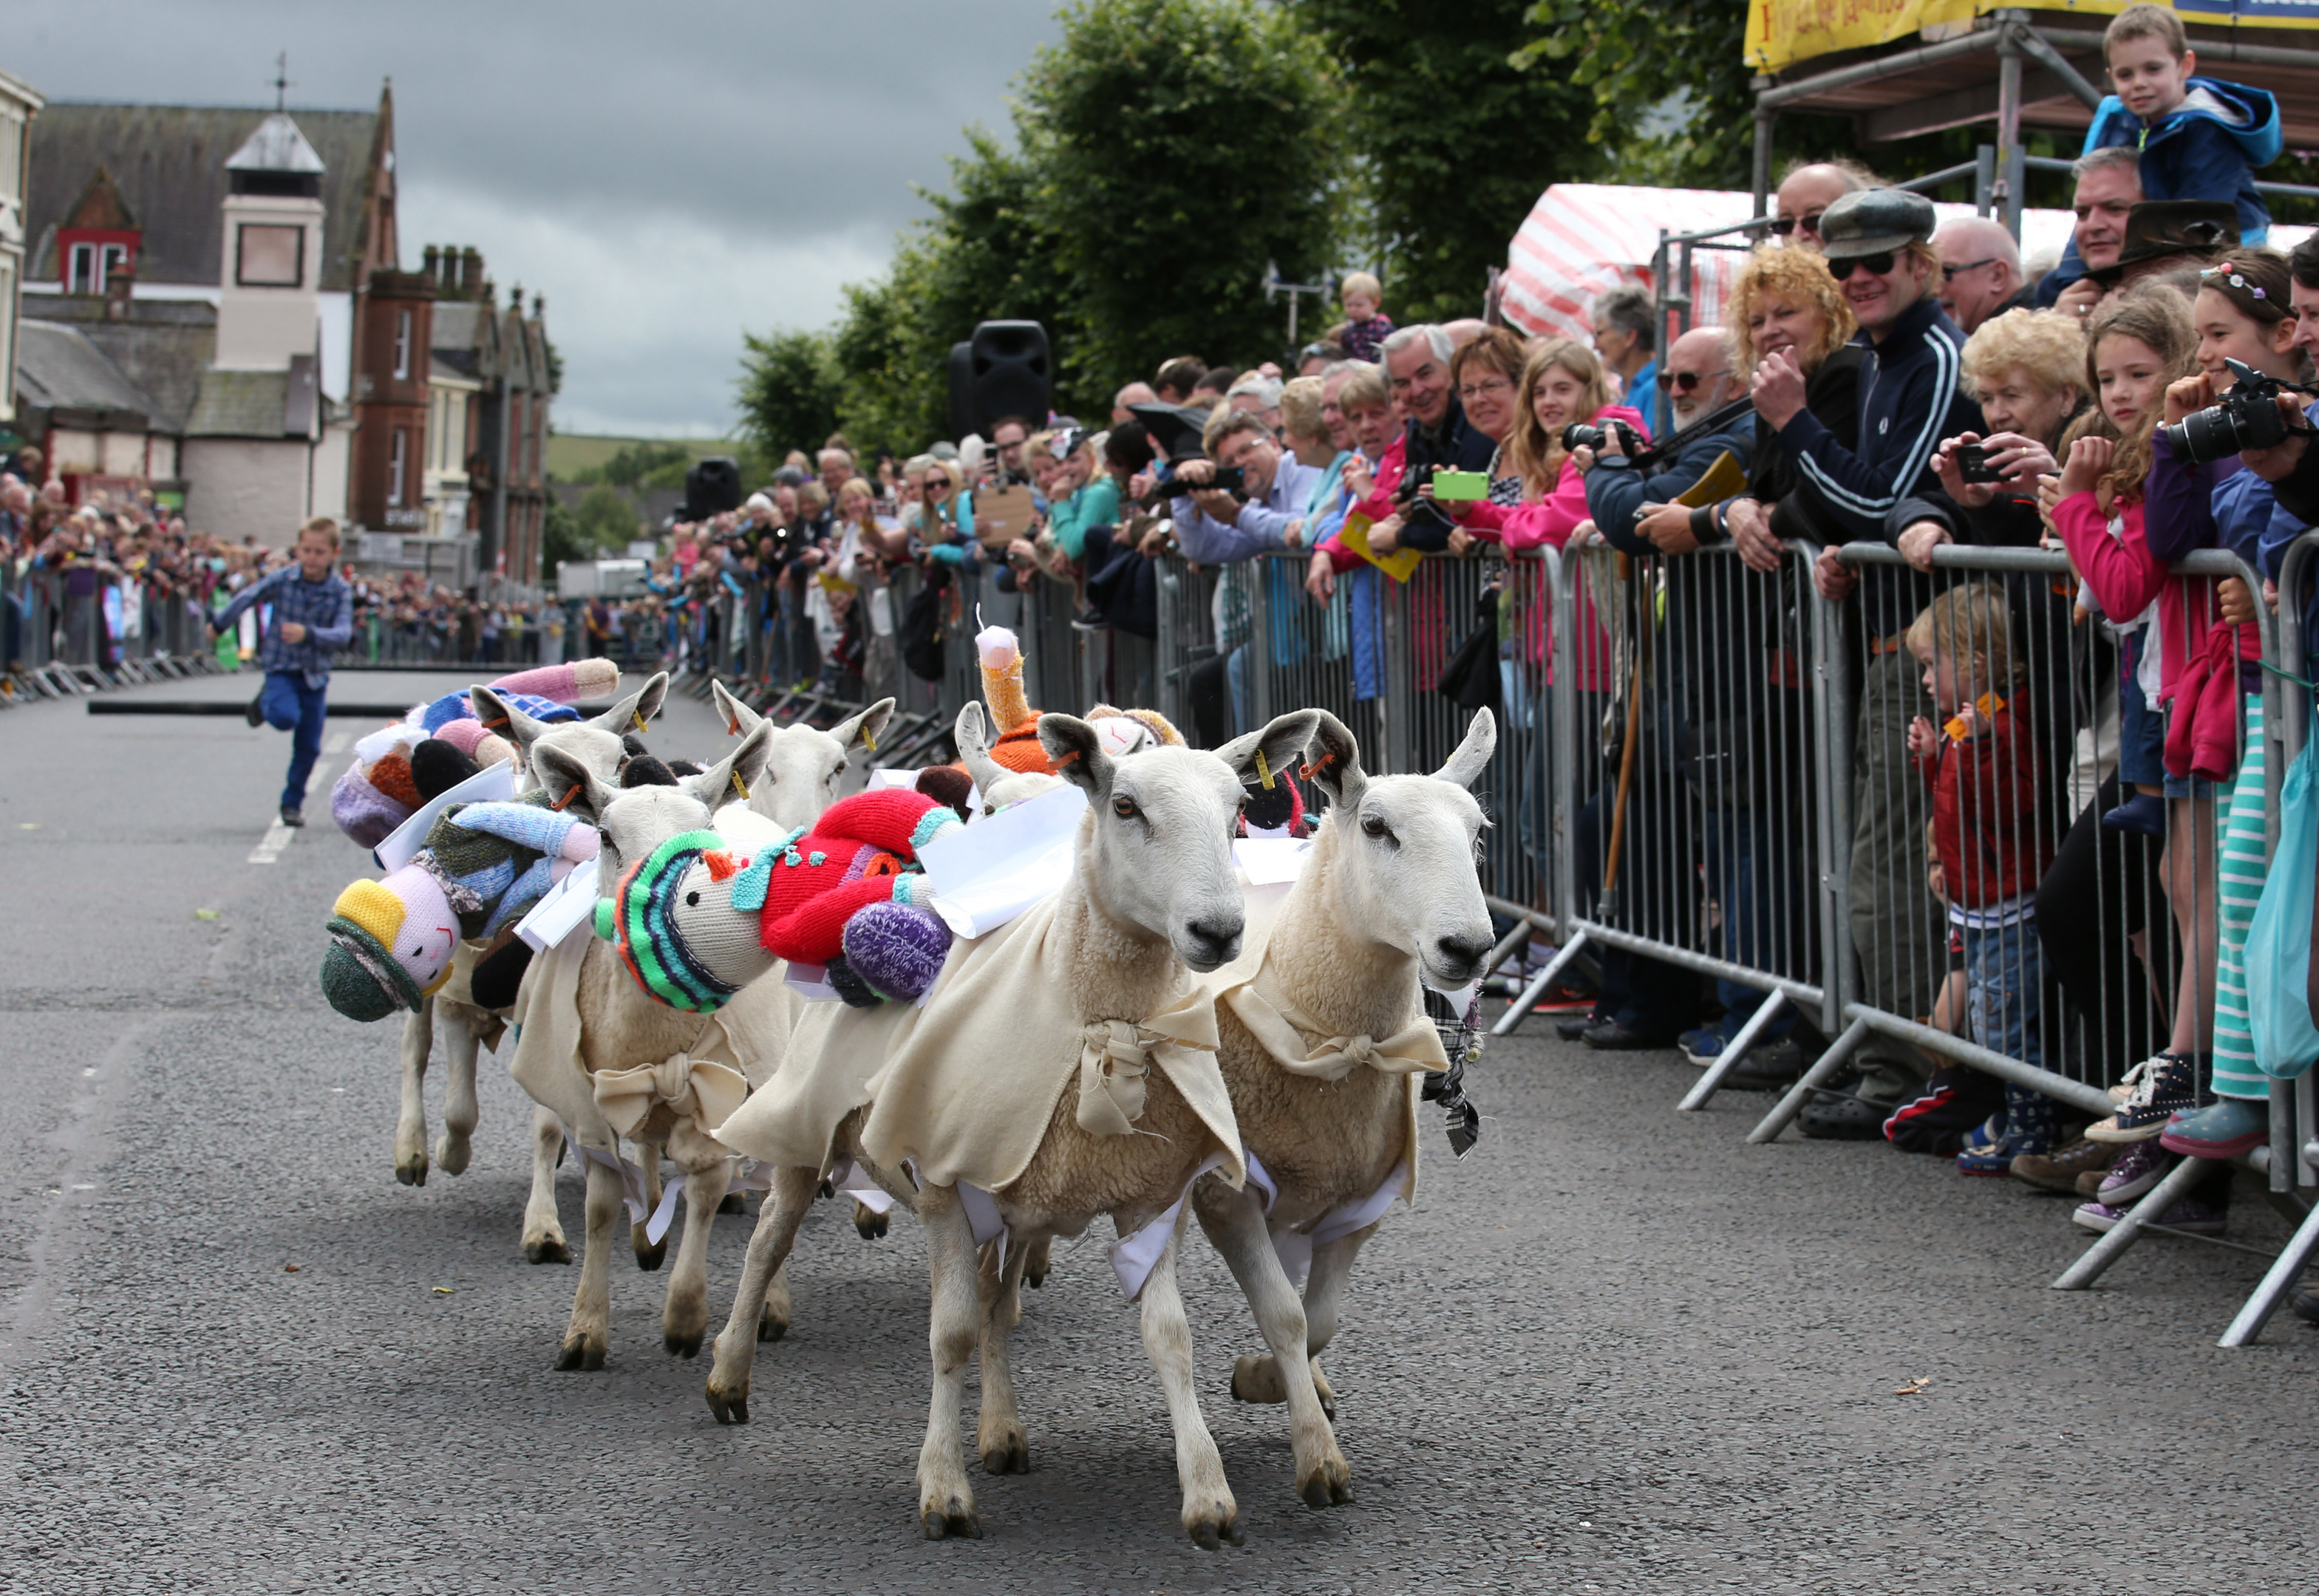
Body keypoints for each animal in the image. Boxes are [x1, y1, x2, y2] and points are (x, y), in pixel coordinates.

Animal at [704, 700, 1326, 1549]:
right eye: (1124, 807)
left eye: (1237, 811)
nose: (1220, 931)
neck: (1092, 1017)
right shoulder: (942, 1181)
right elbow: (950, 1334)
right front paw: (943, 1489)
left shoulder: (1146, 1195)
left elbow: (1169, 1336)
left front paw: (1207, 1494)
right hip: (814, 1128)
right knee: (771, 1240)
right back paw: (729, 1373)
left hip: (1015, 1194)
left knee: (999, 1297)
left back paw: (1001, 1430)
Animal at [1187, 709, 1493, 1512]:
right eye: (1377, 827)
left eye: (1478, 832)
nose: (1470, 947)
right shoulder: (1226, 1194)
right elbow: (1285, 1315)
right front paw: (1317, 1460)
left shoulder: (1360, 1204)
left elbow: (1318, 1320)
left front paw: (1268, 1382)